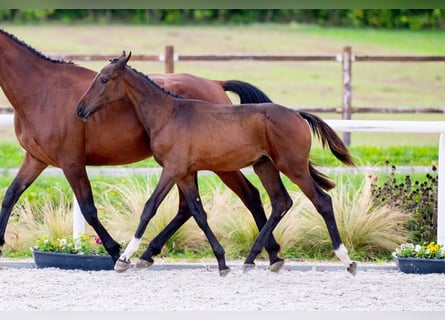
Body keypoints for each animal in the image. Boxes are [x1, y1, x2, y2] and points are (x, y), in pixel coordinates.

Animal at [0, 28, 280, 270]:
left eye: (104, 80)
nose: (80, 110)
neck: (43, 91)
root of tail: (215, 83)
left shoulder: (71, 162)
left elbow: (89, 209)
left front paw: (115, 252)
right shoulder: (35, 159)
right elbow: (10, 195)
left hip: (220, 164)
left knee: (250, 195)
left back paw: (270, 252)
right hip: (189, 167)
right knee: (187, 208)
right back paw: (150, 252)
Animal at [76, 52, 358, 276]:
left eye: (103, 79)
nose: (80, 109)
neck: (168, 114)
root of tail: (297, 114)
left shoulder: (171, 169)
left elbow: (150, 207)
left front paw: (124, 258)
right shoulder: (185, 174)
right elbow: (198, 212)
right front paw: (222, 262)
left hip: (293, 167)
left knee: (322, 202)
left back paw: (347, 260)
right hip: (265, 166)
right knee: (281, 202)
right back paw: (253, 259)